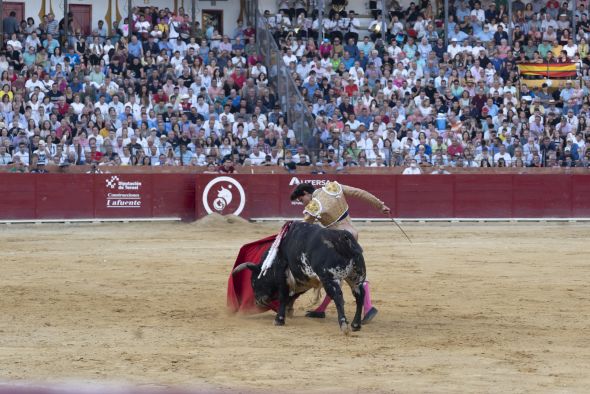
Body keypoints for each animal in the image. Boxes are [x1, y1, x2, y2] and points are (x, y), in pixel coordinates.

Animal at [234, 223, 368, 334]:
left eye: (254, 282)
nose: (258, 301)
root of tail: (343, 239)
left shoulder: (282, 276)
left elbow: (284, 296)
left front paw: (279, 319)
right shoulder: (303, 278)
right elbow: (293, 296)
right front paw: (288, 311)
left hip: (329, 278)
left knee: (338, 297)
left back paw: (344, 325)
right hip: (356, 278)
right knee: (359, 296)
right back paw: (356, 324)